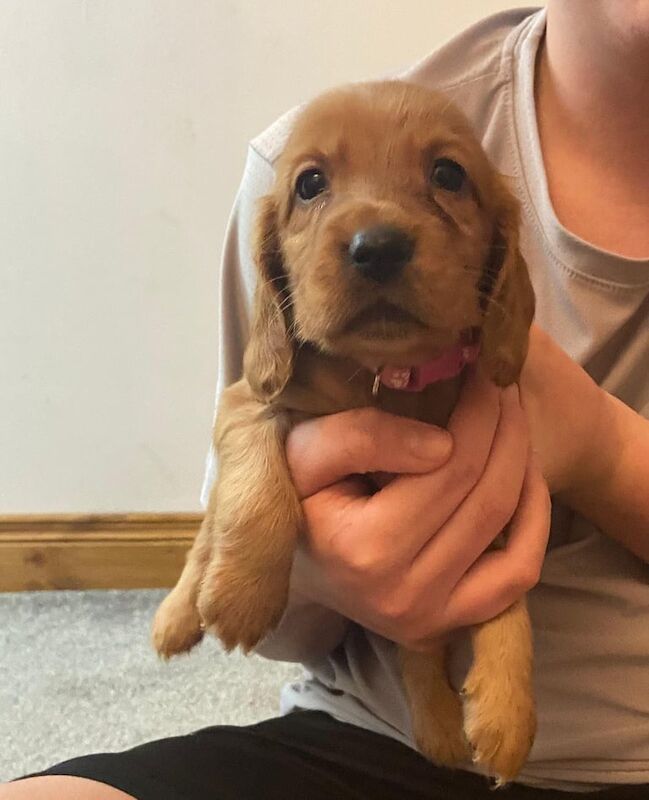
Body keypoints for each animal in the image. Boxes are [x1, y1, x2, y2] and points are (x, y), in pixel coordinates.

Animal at [153, 79, 536, 780]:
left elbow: (510, 596)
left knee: (417, 650)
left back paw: (439, 732)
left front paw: (508, 708)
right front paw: (243, 592)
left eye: (448, 174)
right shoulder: (247, 399)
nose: (376, 247)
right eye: (310, 184)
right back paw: (179, 613)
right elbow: (256, 491)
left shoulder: (498, 499)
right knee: (203, 540)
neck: (383, 375)